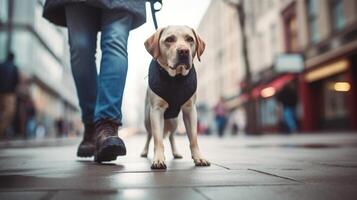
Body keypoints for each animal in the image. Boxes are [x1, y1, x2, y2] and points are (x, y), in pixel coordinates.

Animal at [140, 25, 210, 169]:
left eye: (190, 39)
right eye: (169, 39)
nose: (183, 51)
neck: (175, 78)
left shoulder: (190, 110)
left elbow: (193, 138)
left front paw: (199, 158)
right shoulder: (156, 111)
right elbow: (157, 139)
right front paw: (158, 159)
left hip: (174, 122)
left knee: (171, 136)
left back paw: (176, 152)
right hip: (147, 119)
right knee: (149, 135)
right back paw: (144, 151)